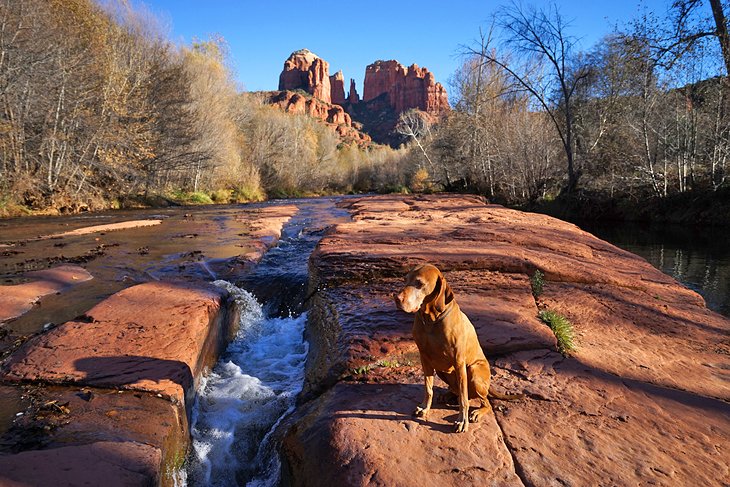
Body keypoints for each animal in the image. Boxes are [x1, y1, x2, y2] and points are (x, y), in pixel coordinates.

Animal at [392, 264, 516, 432]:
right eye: (405, 280)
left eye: (419, 283)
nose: (396, 298)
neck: (431, 320)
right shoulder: (425, 358)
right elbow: (428, 388)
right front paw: (424, 408)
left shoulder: (459, 363)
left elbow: (463, 399)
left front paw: (462, 421)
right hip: (442, 370)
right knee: (458, 392)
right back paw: (448, 395)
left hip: (474, 372)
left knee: (483, 401)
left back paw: (477, 412)